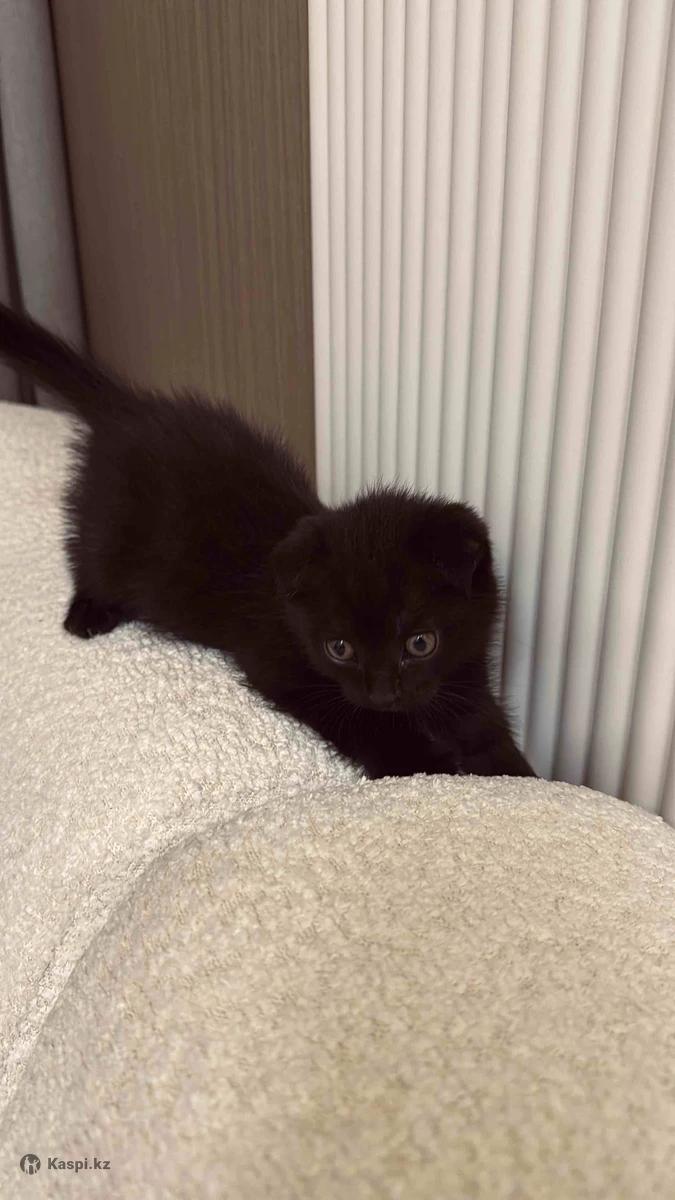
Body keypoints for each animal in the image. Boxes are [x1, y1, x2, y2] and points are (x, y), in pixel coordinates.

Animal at [0, 302, 535, 779]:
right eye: (339, 648)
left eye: (421, 642)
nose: (384, 694)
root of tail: (130, 408)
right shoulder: (283, 666)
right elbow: (360, 720)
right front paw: (424, 762)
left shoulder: (463, 663)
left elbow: (479, 719)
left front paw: (514, 770)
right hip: (115, 524)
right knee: (89, 551)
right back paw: (87, 612)